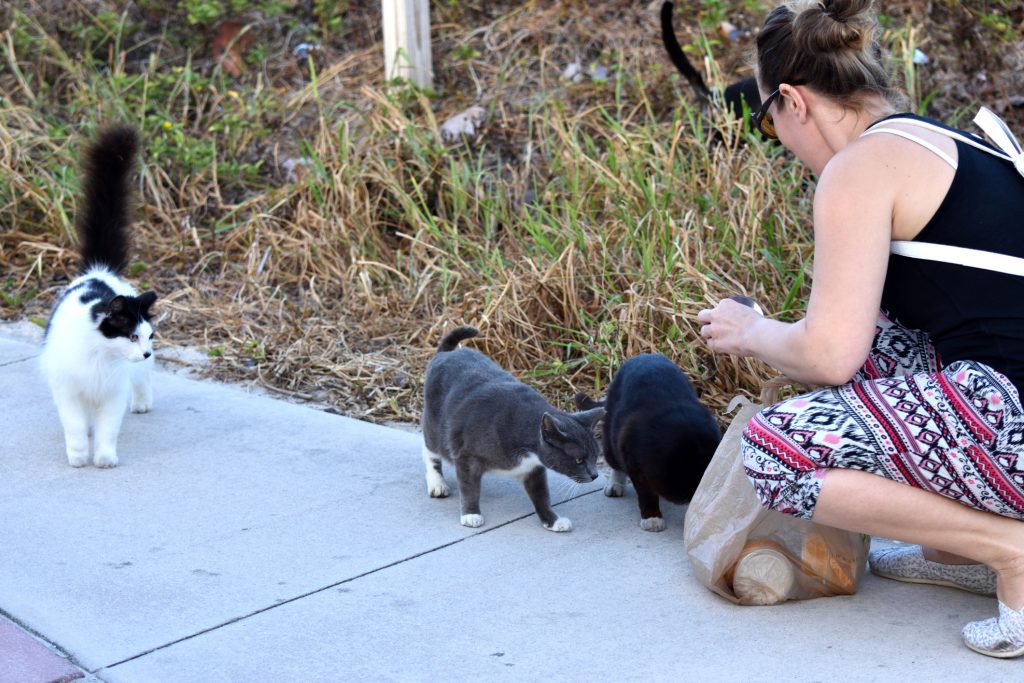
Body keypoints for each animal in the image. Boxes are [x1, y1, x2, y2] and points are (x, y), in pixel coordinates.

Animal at [40, 125, 157, 466]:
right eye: (131, 336)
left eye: (148, 337)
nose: (146, 351)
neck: (99, 357)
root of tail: (99, 270)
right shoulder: (68, 391)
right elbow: (75, 427)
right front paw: (79, 458)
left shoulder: (113, 393)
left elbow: (108, 429)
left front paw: (104, 459)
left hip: (136, 375)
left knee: (143, 380)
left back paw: (142, 404)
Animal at [419, 327, 602, 532]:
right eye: (579, 460)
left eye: (596, 457)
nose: (595, 475)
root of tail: (447, 352)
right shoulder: (466, 456)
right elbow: (469, 488)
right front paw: (471, 514)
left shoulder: (533, 468)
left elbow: (541, 495)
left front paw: (552, 520)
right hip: (436, 425)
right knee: (430, 449)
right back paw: (437, 483)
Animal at [577, 352, 720, 532]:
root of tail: (645, 355)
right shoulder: (637, 465)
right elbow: (647, 494)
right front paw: (652, 518)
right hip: (611, 437)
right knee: (615, 462)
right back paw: (615, 485)